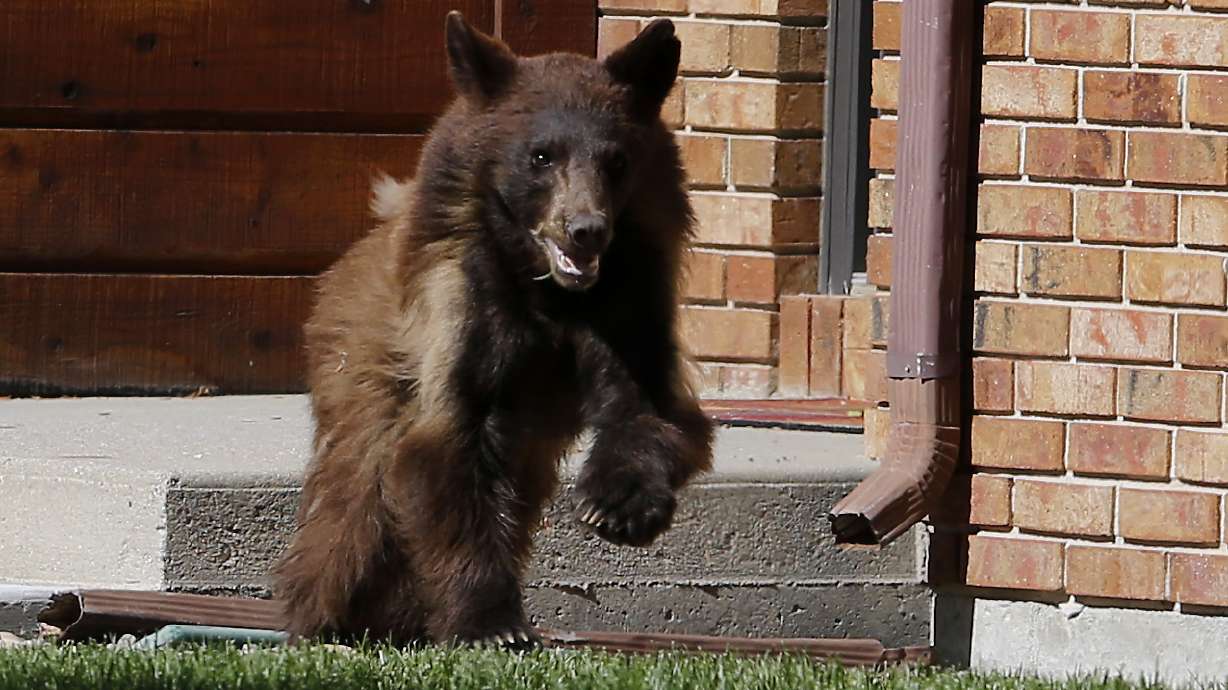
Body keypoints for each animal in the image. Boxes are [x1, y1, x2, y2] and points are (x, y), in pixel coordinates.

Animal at [271, 12, 714, 649]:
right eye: (541, 155)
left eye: (616, 159)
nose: (586, 229)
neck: (548, 292)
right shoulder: (460, 305)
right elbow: (448, 438)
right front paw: (489, 623)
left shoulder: (629, 300)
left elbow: (652, 406)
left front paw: (616, 506)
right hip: (360, 368)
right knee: (355, 500)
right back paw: (330, 611)